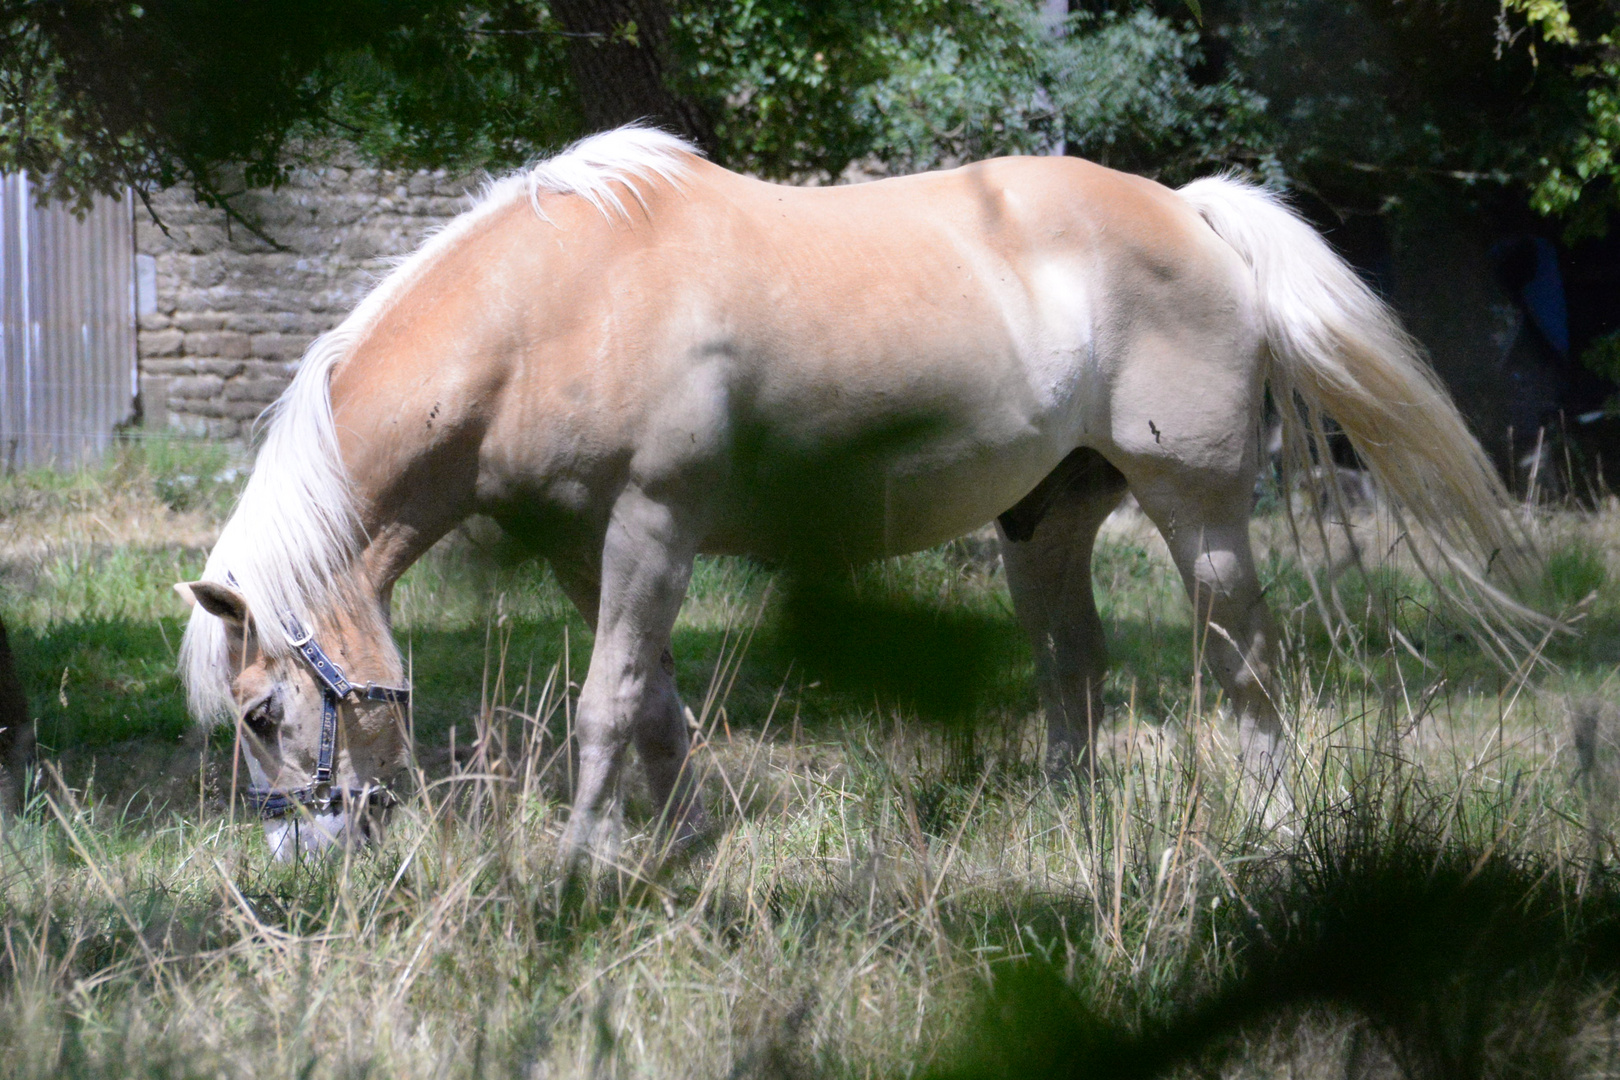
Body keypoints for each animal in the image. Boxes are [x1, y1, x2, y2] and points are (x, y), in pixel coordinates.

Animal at [177, 127, 1529, 867]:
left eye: (261, 714)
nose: (305, 847)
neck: (551, 305)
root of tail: (1192, 209)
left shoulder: (651, 525)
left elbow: (607, 708)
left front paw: (579, 869)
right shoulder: (589, 552)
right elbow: (656, 705)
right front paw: (681, 850)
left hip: (1200, 516)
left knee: (1244, 664)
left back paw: (1278, 833)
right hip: (1047, 522)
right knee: (1072, 661)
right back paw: (1066, 818)